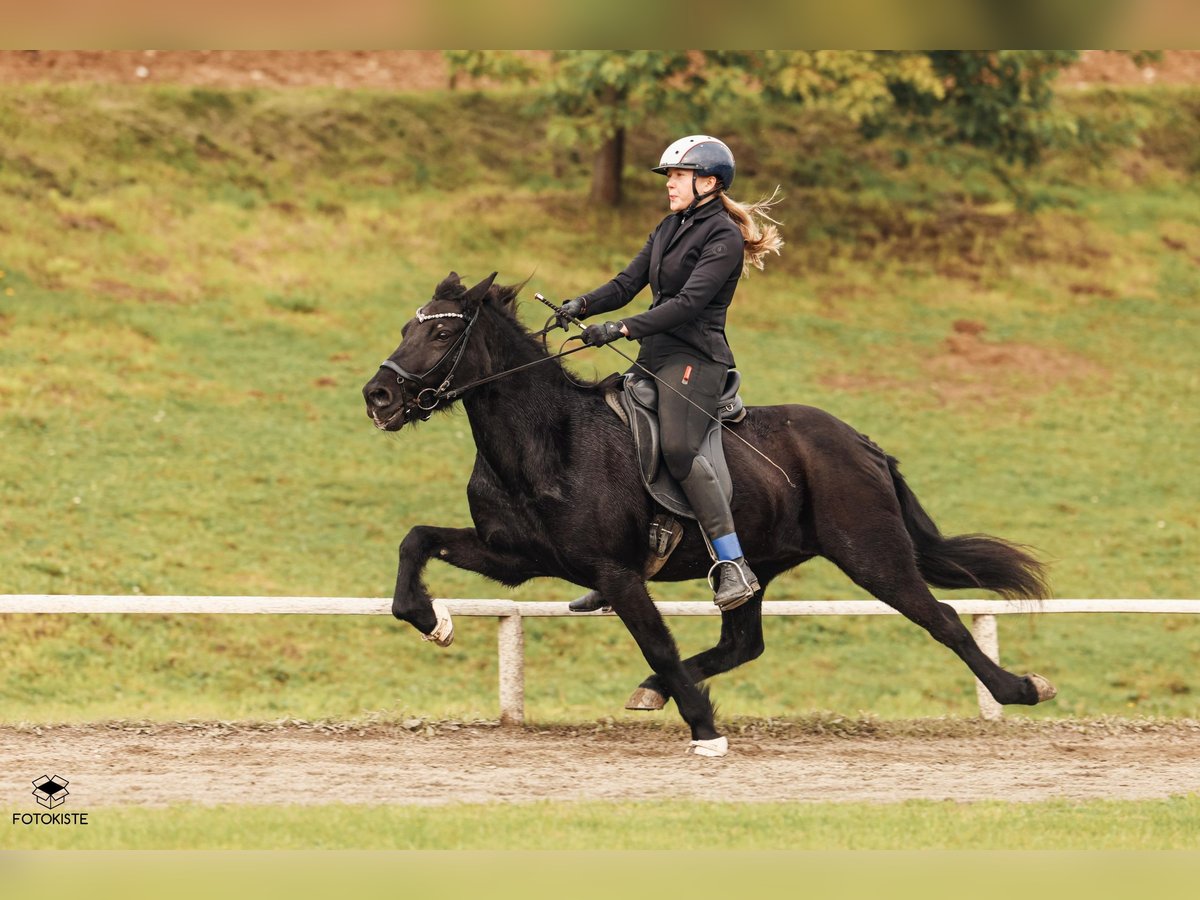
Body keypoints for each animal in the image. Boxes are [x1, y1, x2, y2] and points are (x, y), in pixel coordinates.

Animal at [361, 271, 1057, 756]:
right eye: (405, 328)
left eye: (442, 333)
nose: (379, 396)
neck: (548, 439)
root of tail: (860, 442)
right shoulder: (513, 557)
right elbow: (415, 541)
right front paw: (433, 620)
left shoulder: (617, 574)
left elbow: (658, 641)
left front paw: (705, 730)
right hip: (759, 565)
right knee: (743, 642)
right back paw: (655, 691)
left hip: (872, 555)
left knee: (943, 620)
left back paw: (1020, 688)